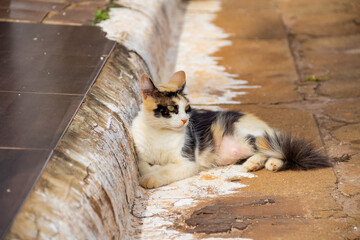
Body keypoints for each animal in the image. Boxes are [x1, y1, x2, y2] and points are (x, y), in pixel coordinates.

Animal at [131, 70, 330, 188]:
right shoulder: (141, 155)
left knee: (275, 148)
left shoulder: (187, 162)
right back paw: (255, 163)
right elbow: (145, 166)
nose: (185, 120)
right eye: (172, 108)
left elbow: (165, 171)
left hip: (248, 136)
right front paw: (151, 171)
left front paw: (150, 179)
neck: (159, 134)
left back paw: (269, 163)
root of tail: (266, 127)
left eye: (187, 108)